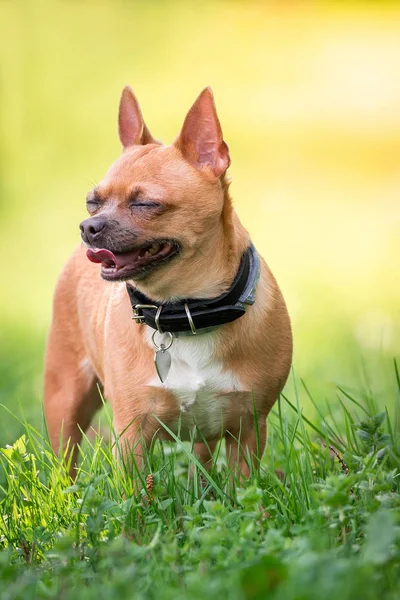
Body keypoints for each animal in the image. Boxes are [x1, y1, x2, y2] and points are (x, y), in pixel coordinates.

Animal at [43, 85, 292, 478]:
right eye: (92, 203)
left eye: (145, 204)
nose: (88, 227)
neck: (185, 309)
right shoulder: (131, 435)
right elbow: (136, 493)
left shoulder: (249, 429)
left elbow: (242, 486)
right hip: (65, 401)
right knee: (64, 462)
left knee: (203, 463)